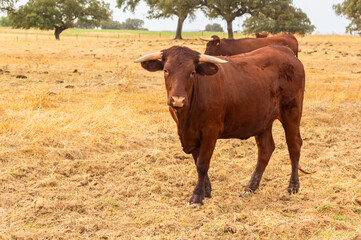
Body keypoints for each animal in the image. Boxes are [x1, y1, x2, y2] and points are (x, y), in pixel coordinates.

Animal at [134, 45, 304, 204]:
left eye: (192, 72)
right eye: (166, 70)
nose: (177, 100)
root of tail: (284, 51)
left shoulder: (210, 131)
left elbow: (202, 164)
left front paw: (197, 197)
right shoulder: (191, 135)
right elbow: (197, 161)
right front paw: (206, 192)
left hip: (291, 113)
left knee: (294, 146)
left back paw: (293, 186)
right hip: (263, 121)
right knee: (265, 150)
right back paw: (250, 188)